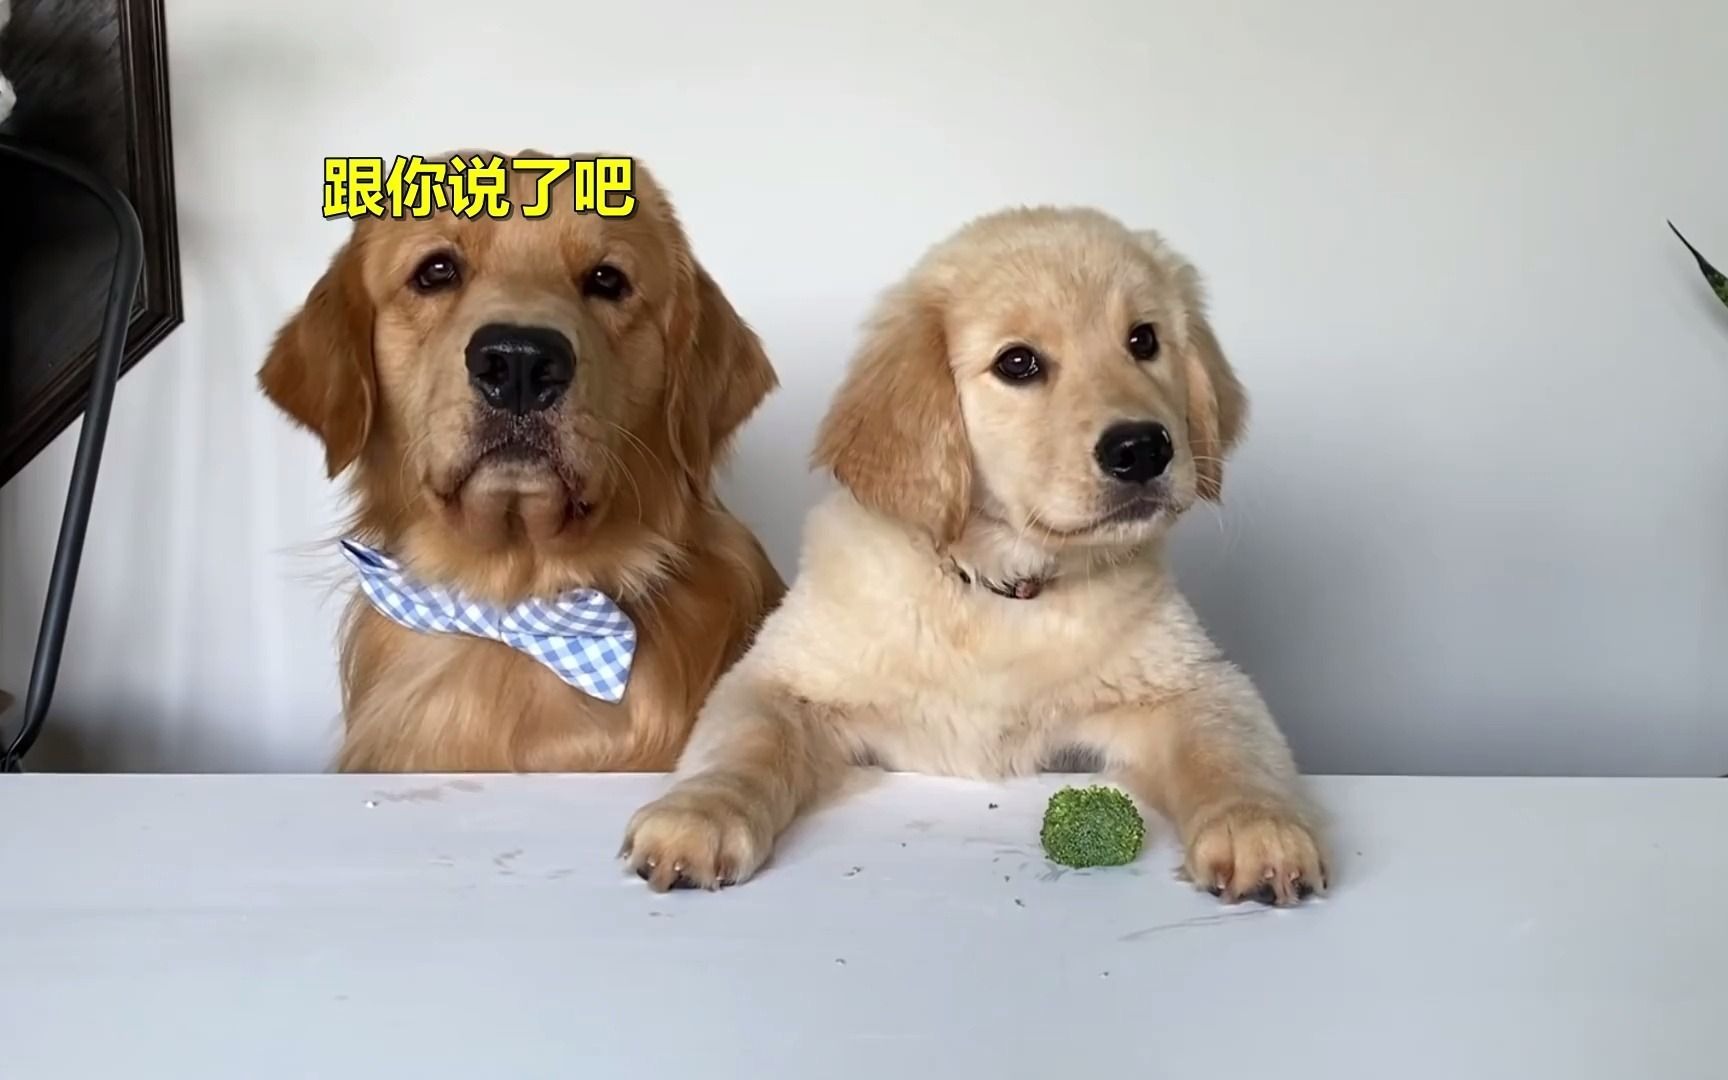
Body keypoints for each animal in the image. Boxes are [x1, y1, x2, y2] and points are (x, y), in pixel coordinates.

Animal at [622, 206, 1326, 904]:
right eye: (1018, 363)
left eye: (1144, 340)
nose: (1143, 449)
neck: (999, 587)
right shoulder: (777, 680)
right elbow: (746, 741)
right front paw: (698, 814)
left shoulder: (1190, 681)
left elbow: (1228, 748)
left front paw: (1257, 828)